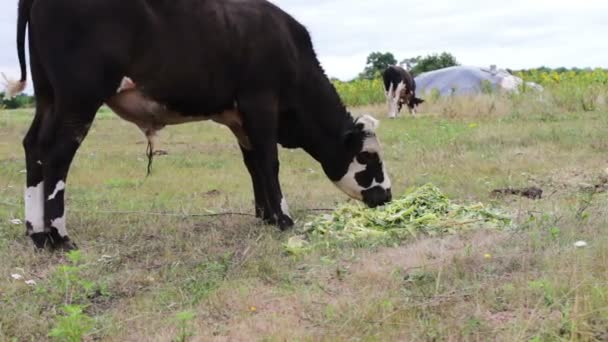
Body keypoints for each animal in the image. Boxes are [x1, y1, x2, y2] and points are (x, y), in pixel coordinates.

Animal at [4, 0, 392, 251]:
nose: (387, 196)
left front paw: (264, 216)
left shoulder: (239, 118)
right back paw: (59, 237)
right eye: (369, 158)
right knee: (57, 154)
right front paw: (283, 219)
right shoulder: (261, 102)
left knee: (34, 147)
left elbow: (253, 164)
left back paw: (36, 233)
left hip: (49, 96)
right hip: (79, 98)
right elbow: (269, 161)